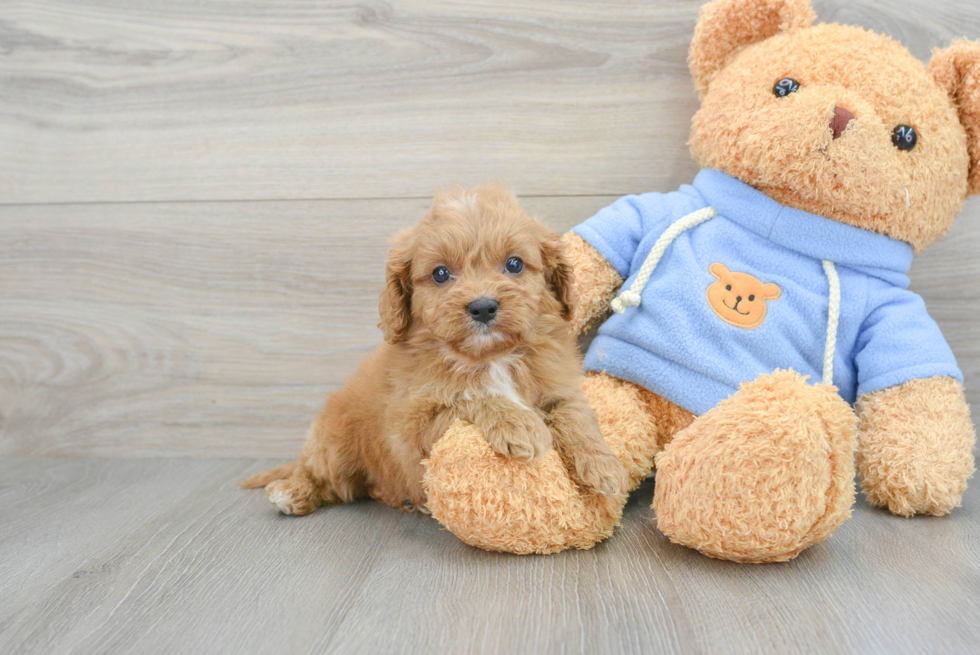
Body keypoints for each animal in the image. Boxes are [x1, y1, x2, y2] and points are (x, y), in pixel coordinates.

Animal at [240, 182, 624, 516]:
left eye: (514, 264)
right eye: (440, 274)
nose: (483, 307)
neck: (490, 357)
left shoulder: (559, 386)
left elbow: (575, 415)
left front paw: (604, 465)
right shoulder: (412, 427)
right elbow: (470, 394)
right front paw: (520, 424)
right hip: (335, 441)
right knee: (321, 475)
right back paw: (293, 491)